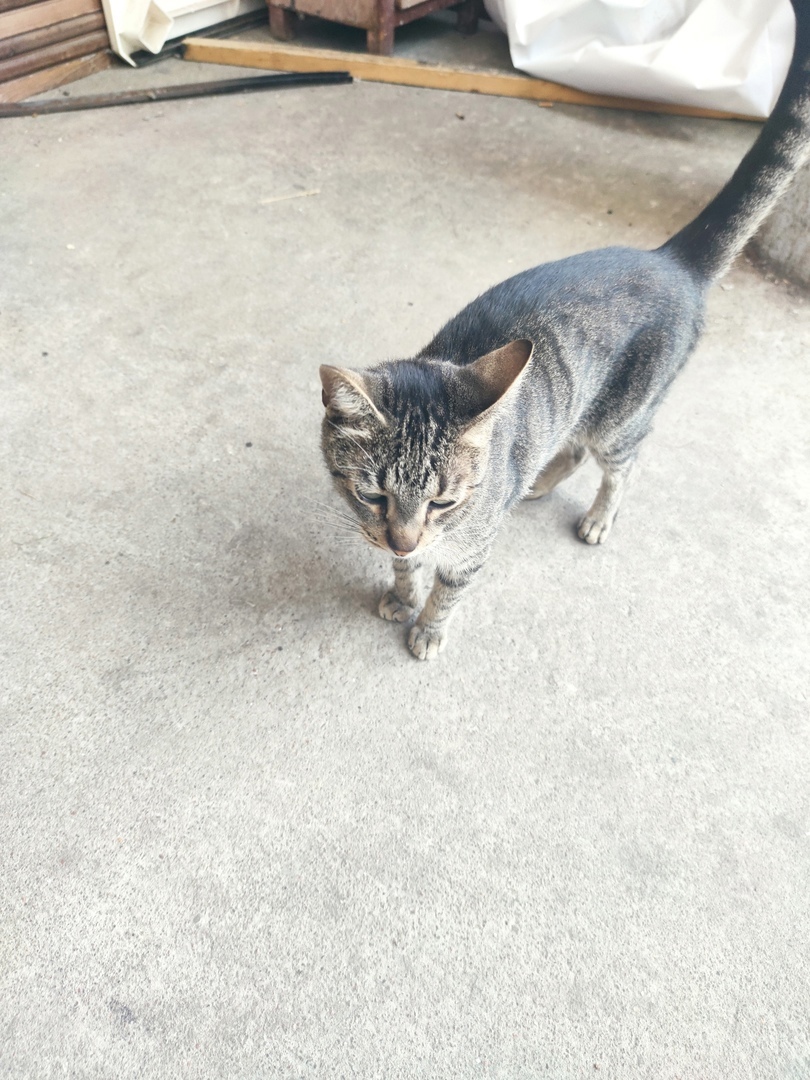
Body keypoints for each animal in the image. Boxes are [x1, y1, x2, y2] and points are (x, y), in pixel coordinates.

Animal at [320, 0, 810, 660]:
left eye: (444, 501)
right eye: (372, 495)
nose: (403, 538)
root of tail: (671, 259)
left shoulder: (469, 551)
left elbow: (447, 590)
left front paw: (427, 625)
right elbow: (407, 570)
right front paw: (402, 590)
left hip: (621, 417)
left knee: (623, 464)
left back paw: (599, 515)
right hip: (586, 402)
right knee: (571, 444)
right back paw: (536, 482)